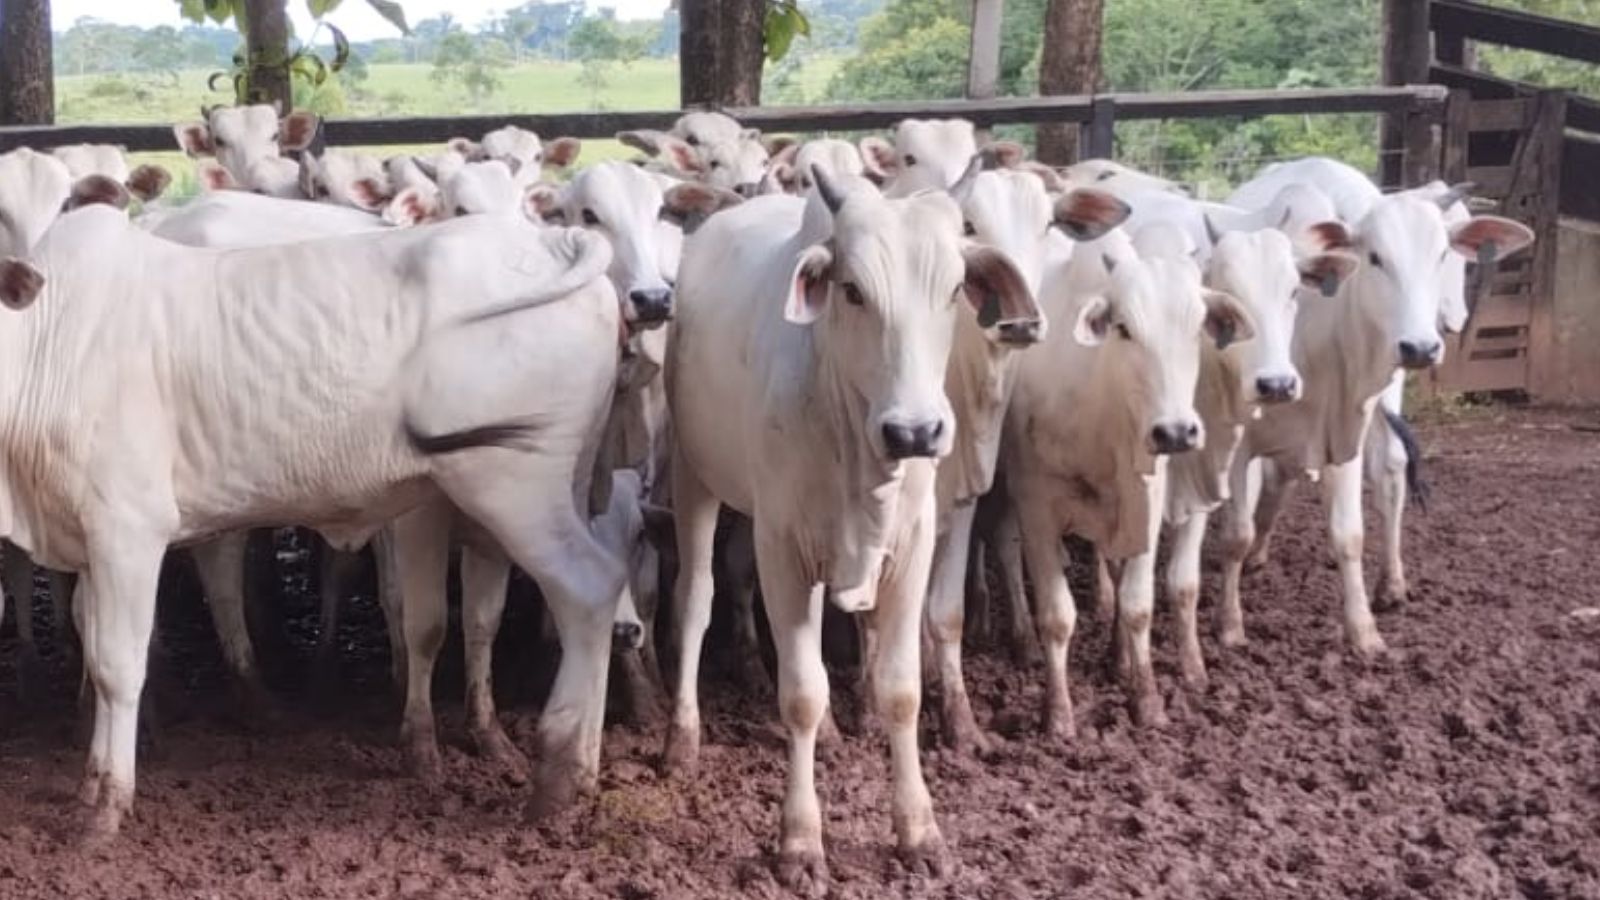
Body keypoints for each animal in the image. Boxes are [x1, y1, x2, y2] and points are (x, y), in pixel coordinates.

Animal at [0, 148, 624, 832]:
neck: (44, 346)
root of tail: (558, 241)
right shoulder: (84, 538)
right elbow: (91, 647)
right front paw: (90, 786)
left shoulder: (128, 530)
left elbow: (117, 665)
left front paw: (108, 807)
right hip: (561, 480)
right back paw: (582, 765)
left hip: (515, 486)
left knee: (589, 590)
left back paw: (557, 779)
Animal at [665, 166, 1036, 883]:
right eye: (854, 290)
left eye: (955, 289)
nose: (915, 431)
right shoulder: (781, 548)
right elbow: (801, 694)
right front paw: (800, 842)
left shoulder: (911, 548)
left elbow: (901, 690)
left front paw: (919, 832)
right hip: (692, 477)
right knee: (694, 601)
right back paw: (682, 737)